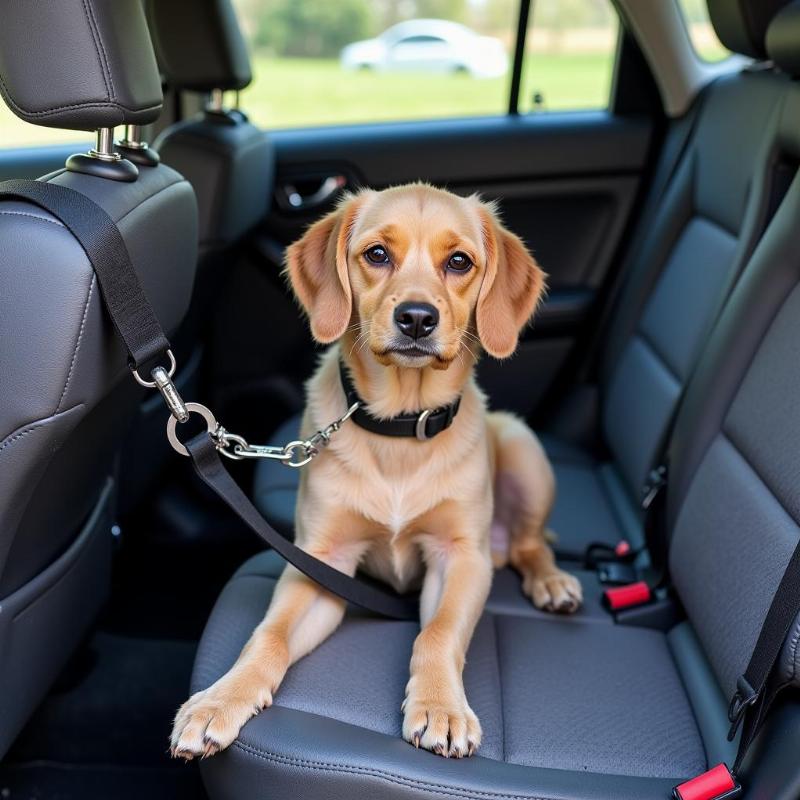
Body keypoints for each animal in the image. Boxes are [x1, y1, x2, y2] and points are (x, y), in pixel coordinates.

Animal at [170, 183, 580, 764]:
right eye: (378, 254)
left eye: (459, 262)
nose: (417, 318)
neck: (400, 429)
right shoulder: (322, 561)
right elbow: (268, 636)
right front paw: (220, 699)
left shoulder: (461, 559)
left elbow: (437, 634)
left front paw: (441, 707)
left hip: (523, 449)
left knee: (530, 543)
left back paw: (552, 581)